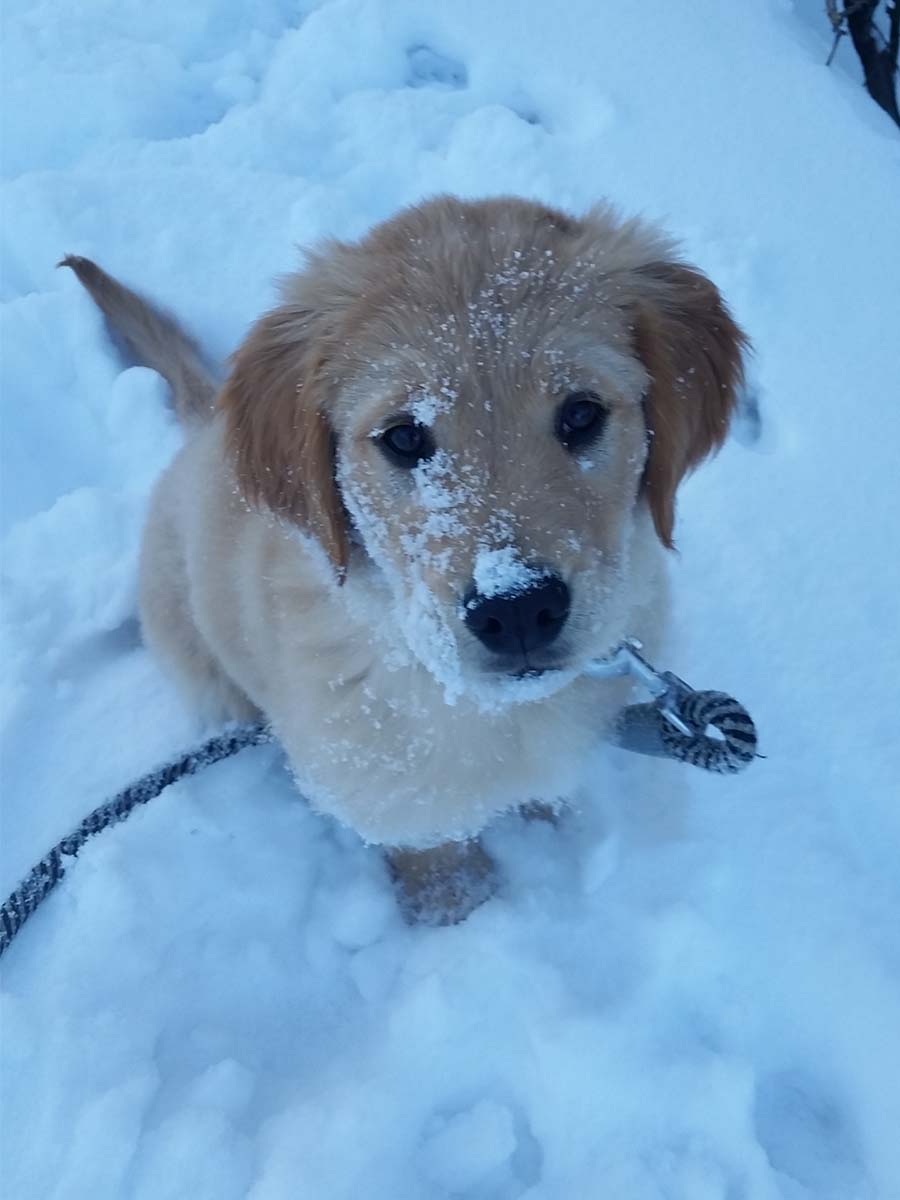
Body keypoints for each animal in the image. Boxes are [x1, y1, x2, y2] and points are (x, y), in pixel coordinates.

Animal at [63, 196, 748, 921]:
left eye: (583, 414)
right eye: (404, 437)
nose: (519, 609)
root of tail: (205, 423)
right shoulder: (388, 794)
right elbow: (437, 858)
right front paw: (456, 913)